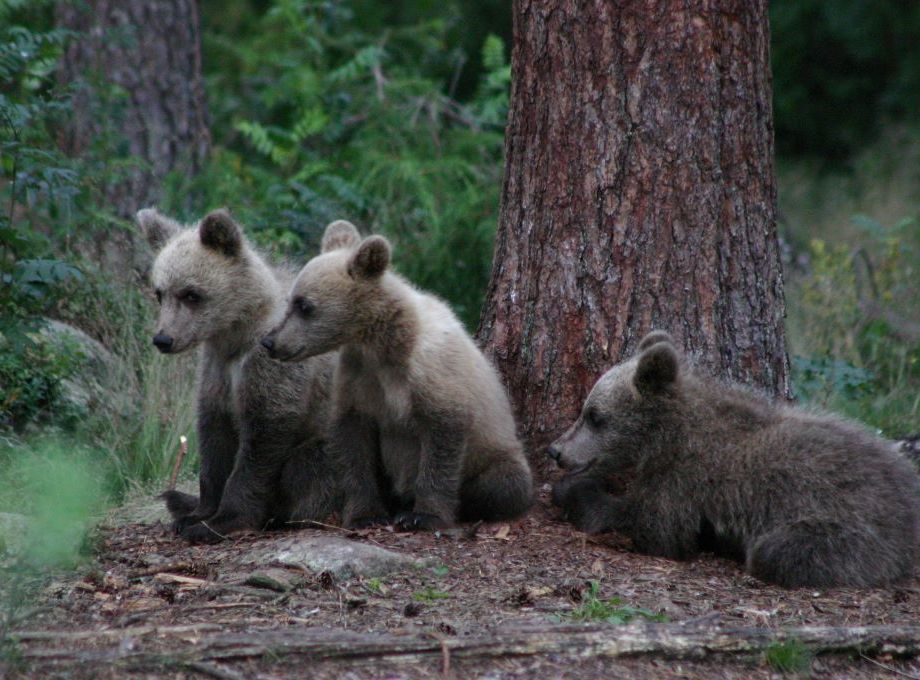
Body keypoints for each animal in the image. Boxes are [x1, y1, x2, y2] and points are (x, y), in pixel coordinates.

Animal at [137, 207, 340, 543]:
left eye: (191, 294)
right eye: (159, 292)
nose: (163, 339)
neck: (235, 334)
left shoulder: (271, 366)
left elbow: (262, 438)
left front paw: (220, 522)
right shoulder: (216, 370)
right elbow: (214, 439)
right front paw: (196, 513)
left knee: (309, 466)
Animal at [260, 221, 533, 530]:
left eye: (305, 305)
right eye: (290, 300)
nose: (270, 342)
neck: (383, 346)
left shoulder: (432, 375)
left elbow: (443, 438)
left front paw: (424, 516)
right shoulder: (359, 380)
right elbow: (353, 444)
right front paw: (365, 514)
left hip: (499, 452)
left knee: (504, 485)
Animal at [549, 331, 920, 588]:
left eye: (595, 416)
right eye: (586, 410)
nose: (556, 449)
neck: (662, 436)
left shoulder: (684, 474)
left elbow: (655, 527)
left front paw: (573, 491)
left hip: (854, 524)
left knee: (777, 551)